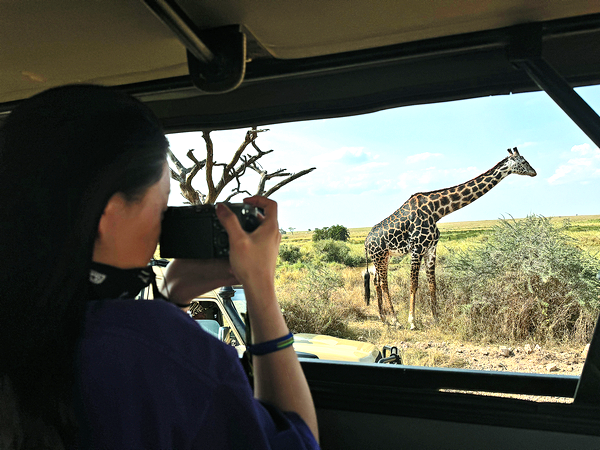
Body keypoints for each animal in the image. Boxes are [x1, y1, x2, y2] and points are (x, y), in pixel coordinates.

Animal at [364, 149, 536, 328]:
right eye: (523, 161)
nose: (534, 172)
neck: (436, 211)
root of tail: (366, 242)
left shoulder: (431, 248)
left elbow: (432, 284)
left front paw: (436, 318)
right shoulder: (417, 248)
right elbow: (414, 284)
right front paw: (412, 321)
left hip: (384, 257)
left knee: (376, 282)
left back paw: (383, 318)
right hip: (380, 256)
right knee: (384, 283)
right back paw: (395, 320)